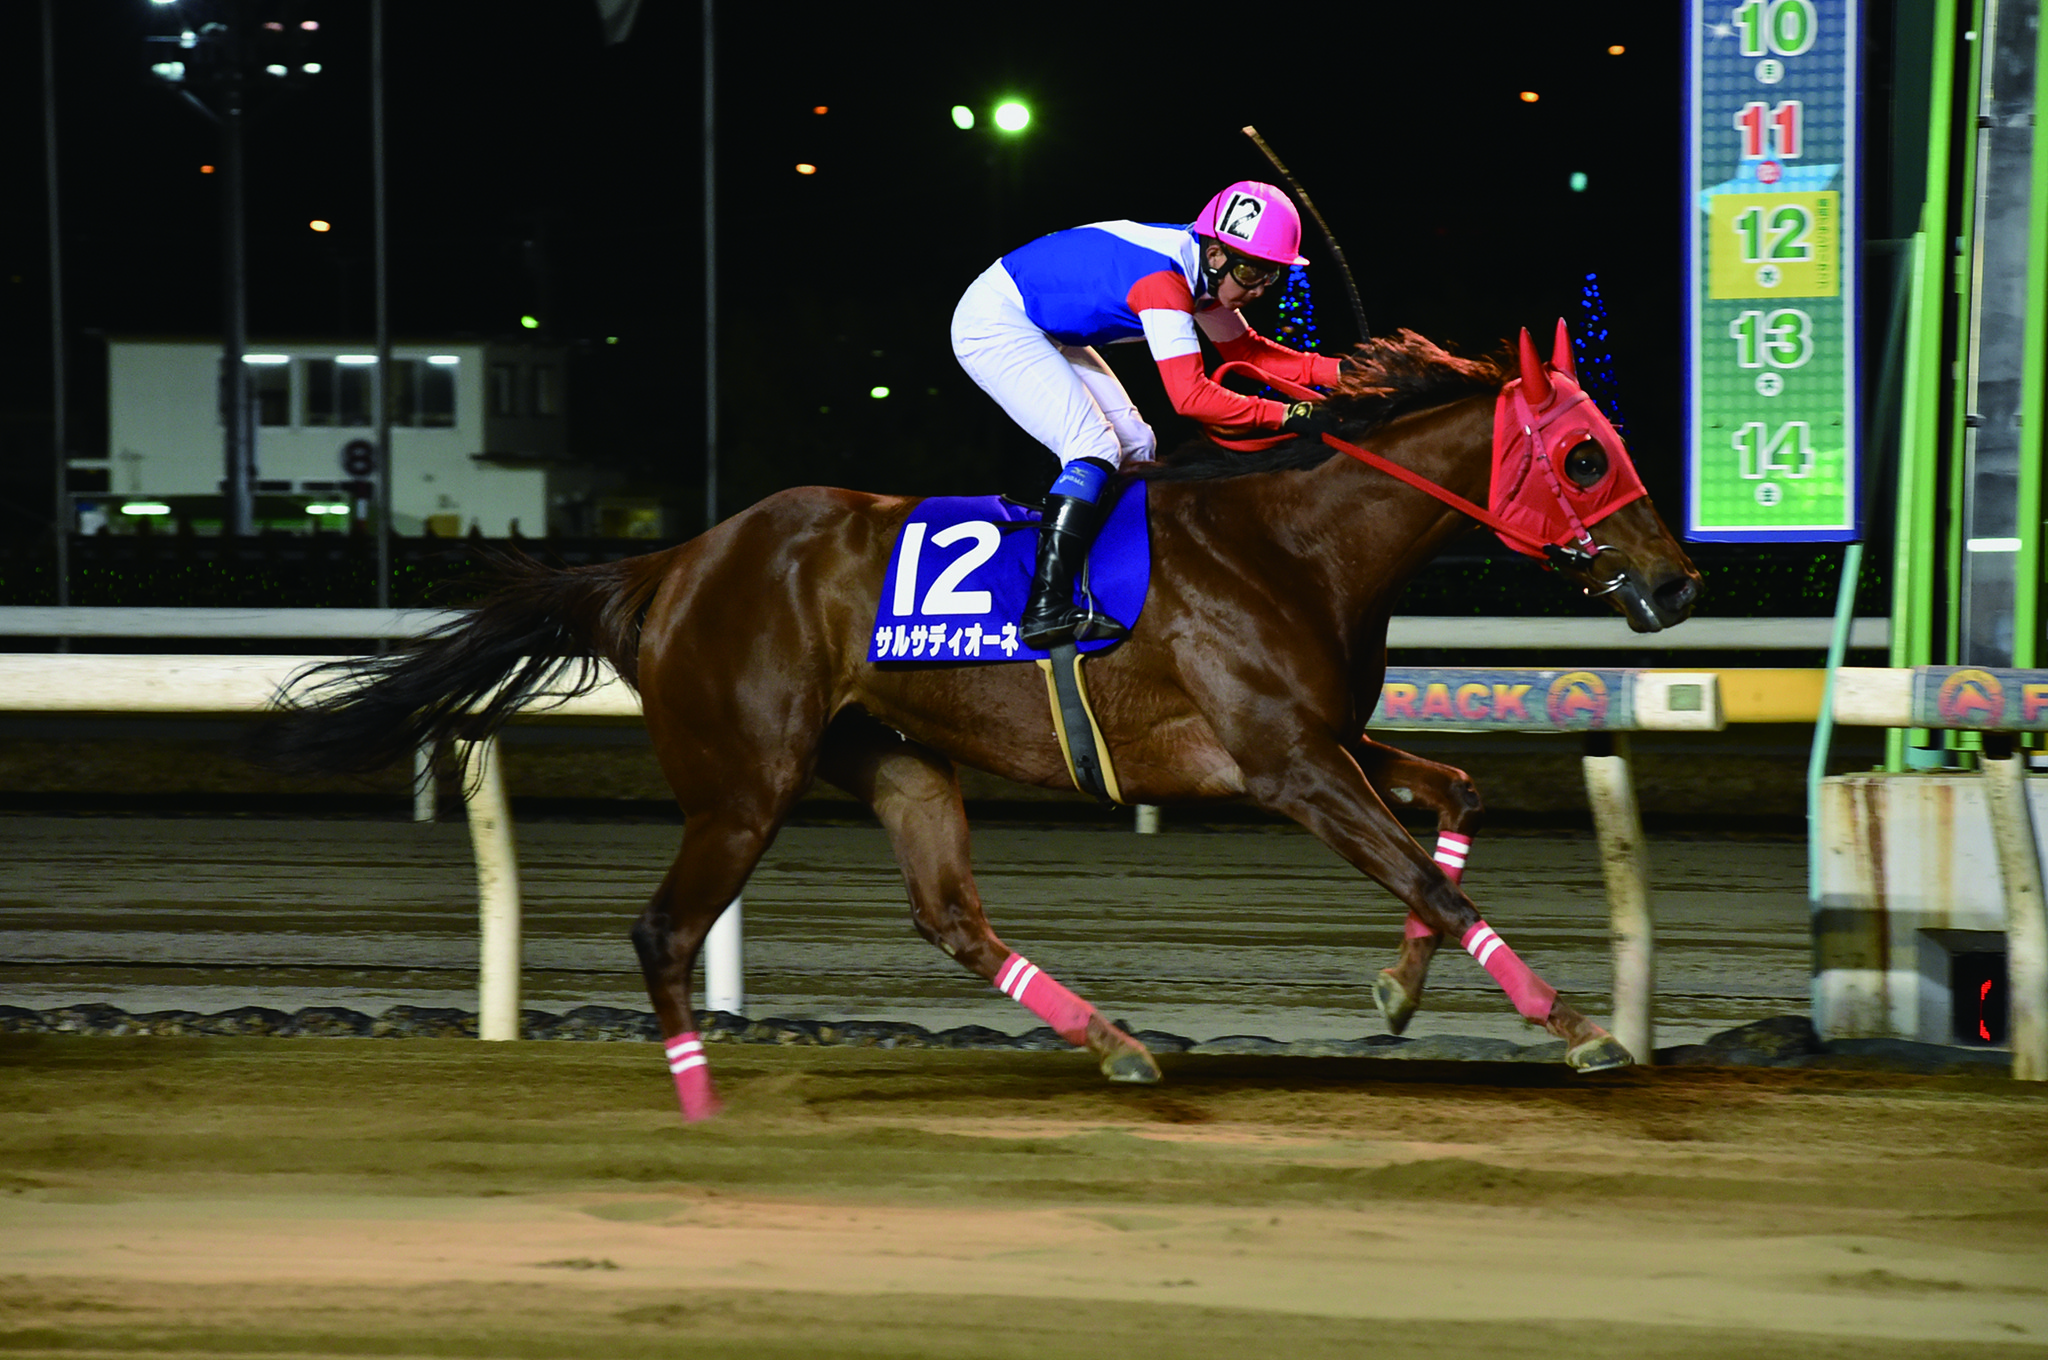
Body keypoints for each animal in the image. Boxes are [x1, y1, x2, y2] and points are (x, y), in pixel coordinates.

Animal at [258, 322, 1703, 1121]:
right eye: (1588, 453)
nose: (1681, 580)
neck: (1296, 545)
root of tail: (669, 566)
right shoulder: (1286, 766)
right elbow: (1426, 873)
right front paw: (1578, 1030)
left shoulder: (1326, 742)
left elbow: (1454, 803)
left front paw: (1400, 992)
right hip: (744, 778)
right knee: (664, 927)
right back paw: (697, 1094)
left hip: (897, 763)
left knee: (948, 914)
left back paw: (1116, 1044)